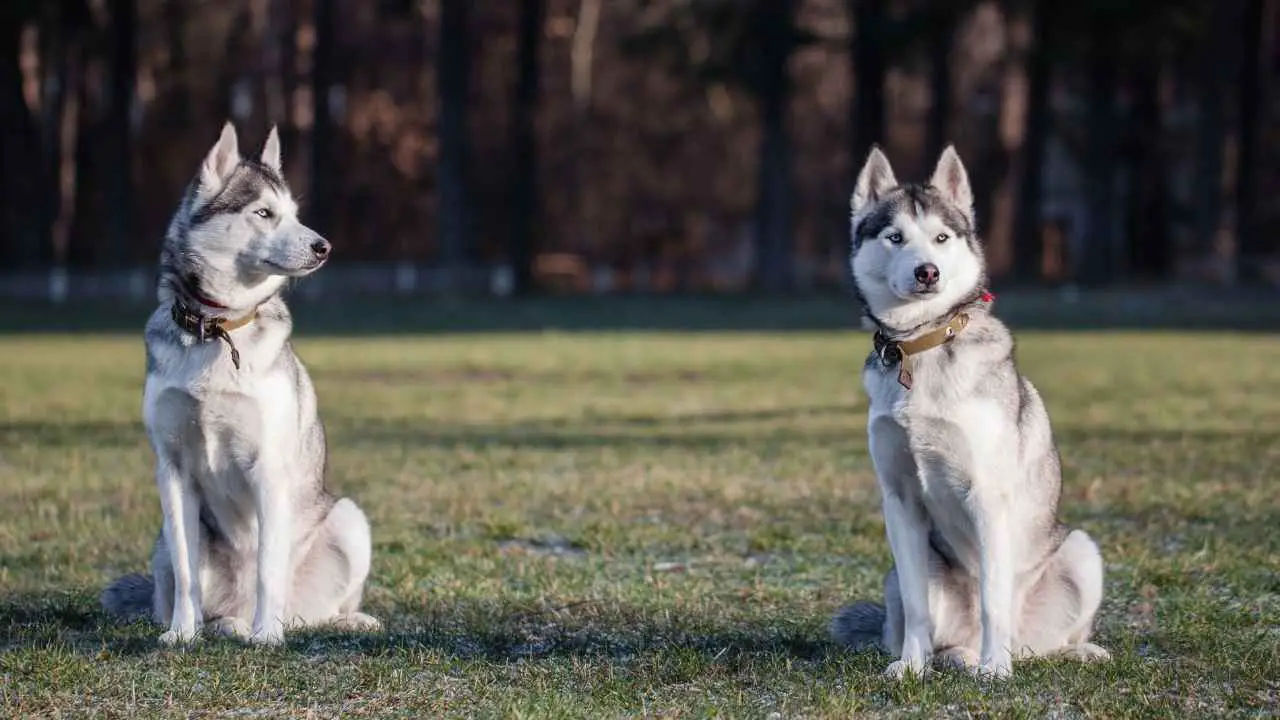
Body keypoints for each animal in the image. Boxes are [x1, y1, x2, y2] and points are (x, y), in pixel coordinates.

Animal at [101, 120, 378, 640]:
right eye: (264, 213)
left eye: (293, 214)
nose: (323, 246)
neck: (216, 329)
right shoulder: (173, 472)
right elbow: (188, 570)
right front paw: (181, 635)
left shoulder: (267, 467)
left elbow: (269, 566)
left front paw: (268, 638)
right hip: (162, 541)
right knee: (197, 597)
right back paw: (224, 625)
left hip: (349, 519)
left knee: (312, 608)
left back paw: (331, 621)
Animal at [829, 147, 1111, 676]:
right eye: (895, 237)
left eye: (942, 237)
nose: (928, 271)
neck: (921, 344)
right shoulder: (900, 501)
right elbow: (919, 607)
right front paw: (910, 668)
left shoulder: (987, 496)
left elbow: (993, 599)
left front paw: (996, 672)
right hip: (907, 570)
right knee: (939, 636)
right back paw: (957, 657)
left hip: (1081, 550)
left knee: (1040, 641)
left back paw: (1054, 653)